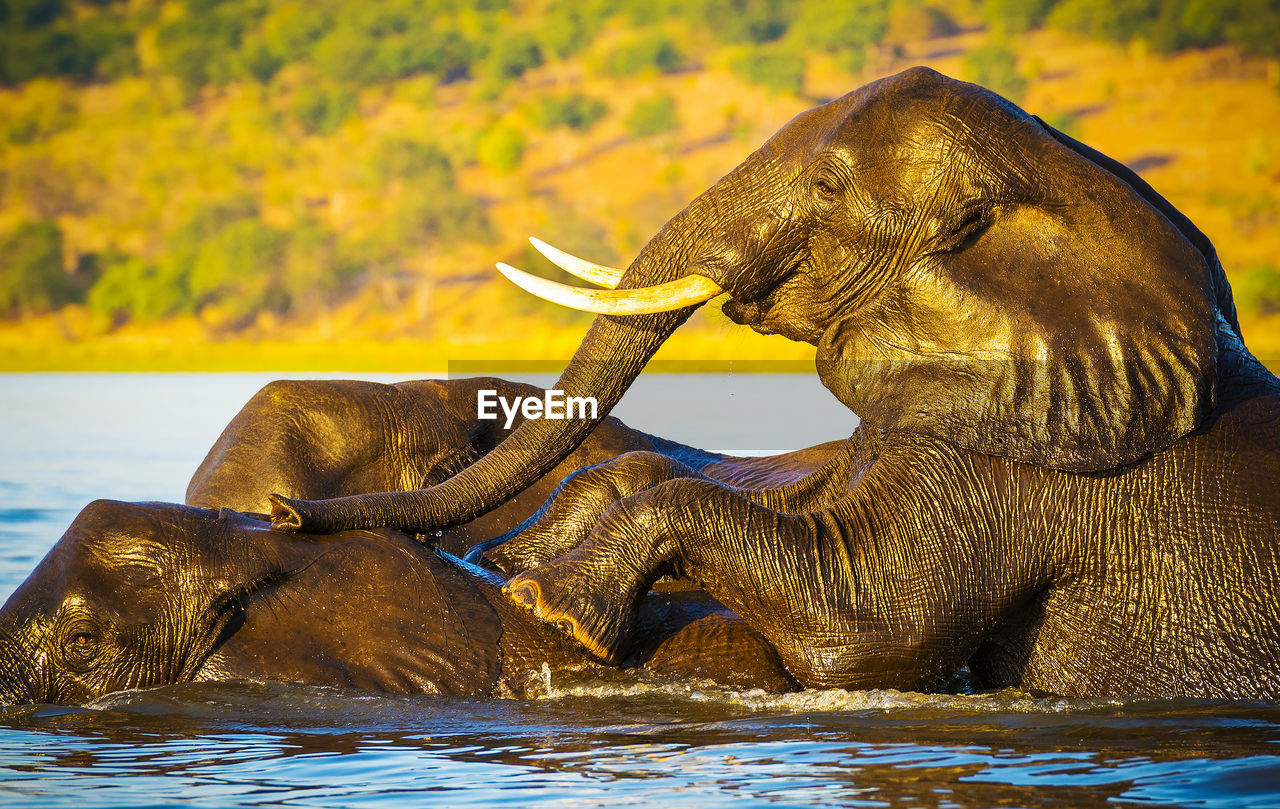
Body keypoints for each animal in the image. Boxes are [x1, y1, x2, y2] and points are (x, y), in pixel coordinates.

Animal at [264, 67, 1280, 701]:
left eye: (828, 187)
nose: (280, 511)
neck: (1061, 185)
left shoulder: (1031, 459)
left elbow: (869, 623)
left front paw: (546, 606)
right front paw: (514, 563)